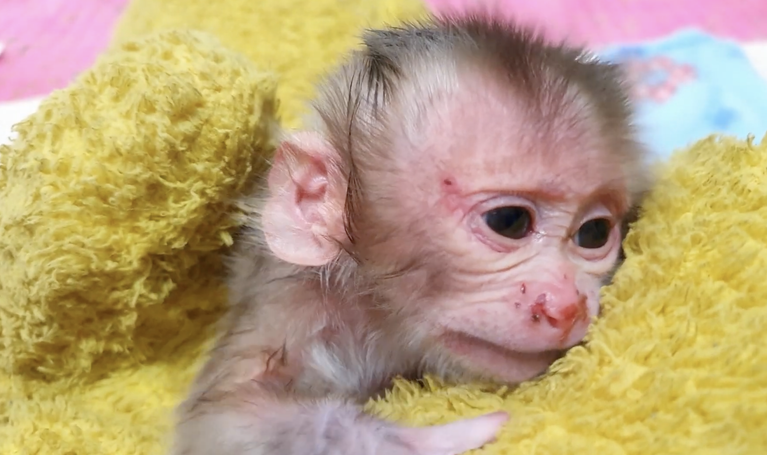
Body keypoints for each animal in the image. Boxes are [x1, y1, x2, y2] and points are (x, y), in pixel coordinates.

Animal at [170, 13, 652, 455]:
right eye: (509, 221)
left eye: (594, 232)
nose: (566, 306)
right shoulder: (295, 304)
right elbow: (222, 419)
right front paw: (434, 438)